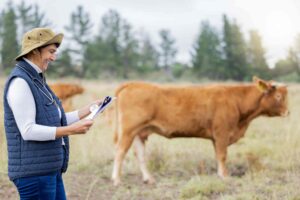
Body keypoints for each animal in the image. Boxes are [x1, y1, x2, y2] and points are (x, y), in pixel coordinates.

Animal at [111, 77, 290, 186]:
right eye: (279, 96)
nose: (288, 112)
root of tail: (134, 84)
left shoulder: (216, 137)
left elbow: (218, 156)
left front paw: (220, 174)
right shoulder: (222, 133)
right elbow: (222, 155)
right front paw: (225, 176)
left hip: (139, 132)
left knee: (139, 155)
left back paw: (149, 179)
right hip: (128, 130)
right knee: (120, 152)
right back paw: (116, 180)